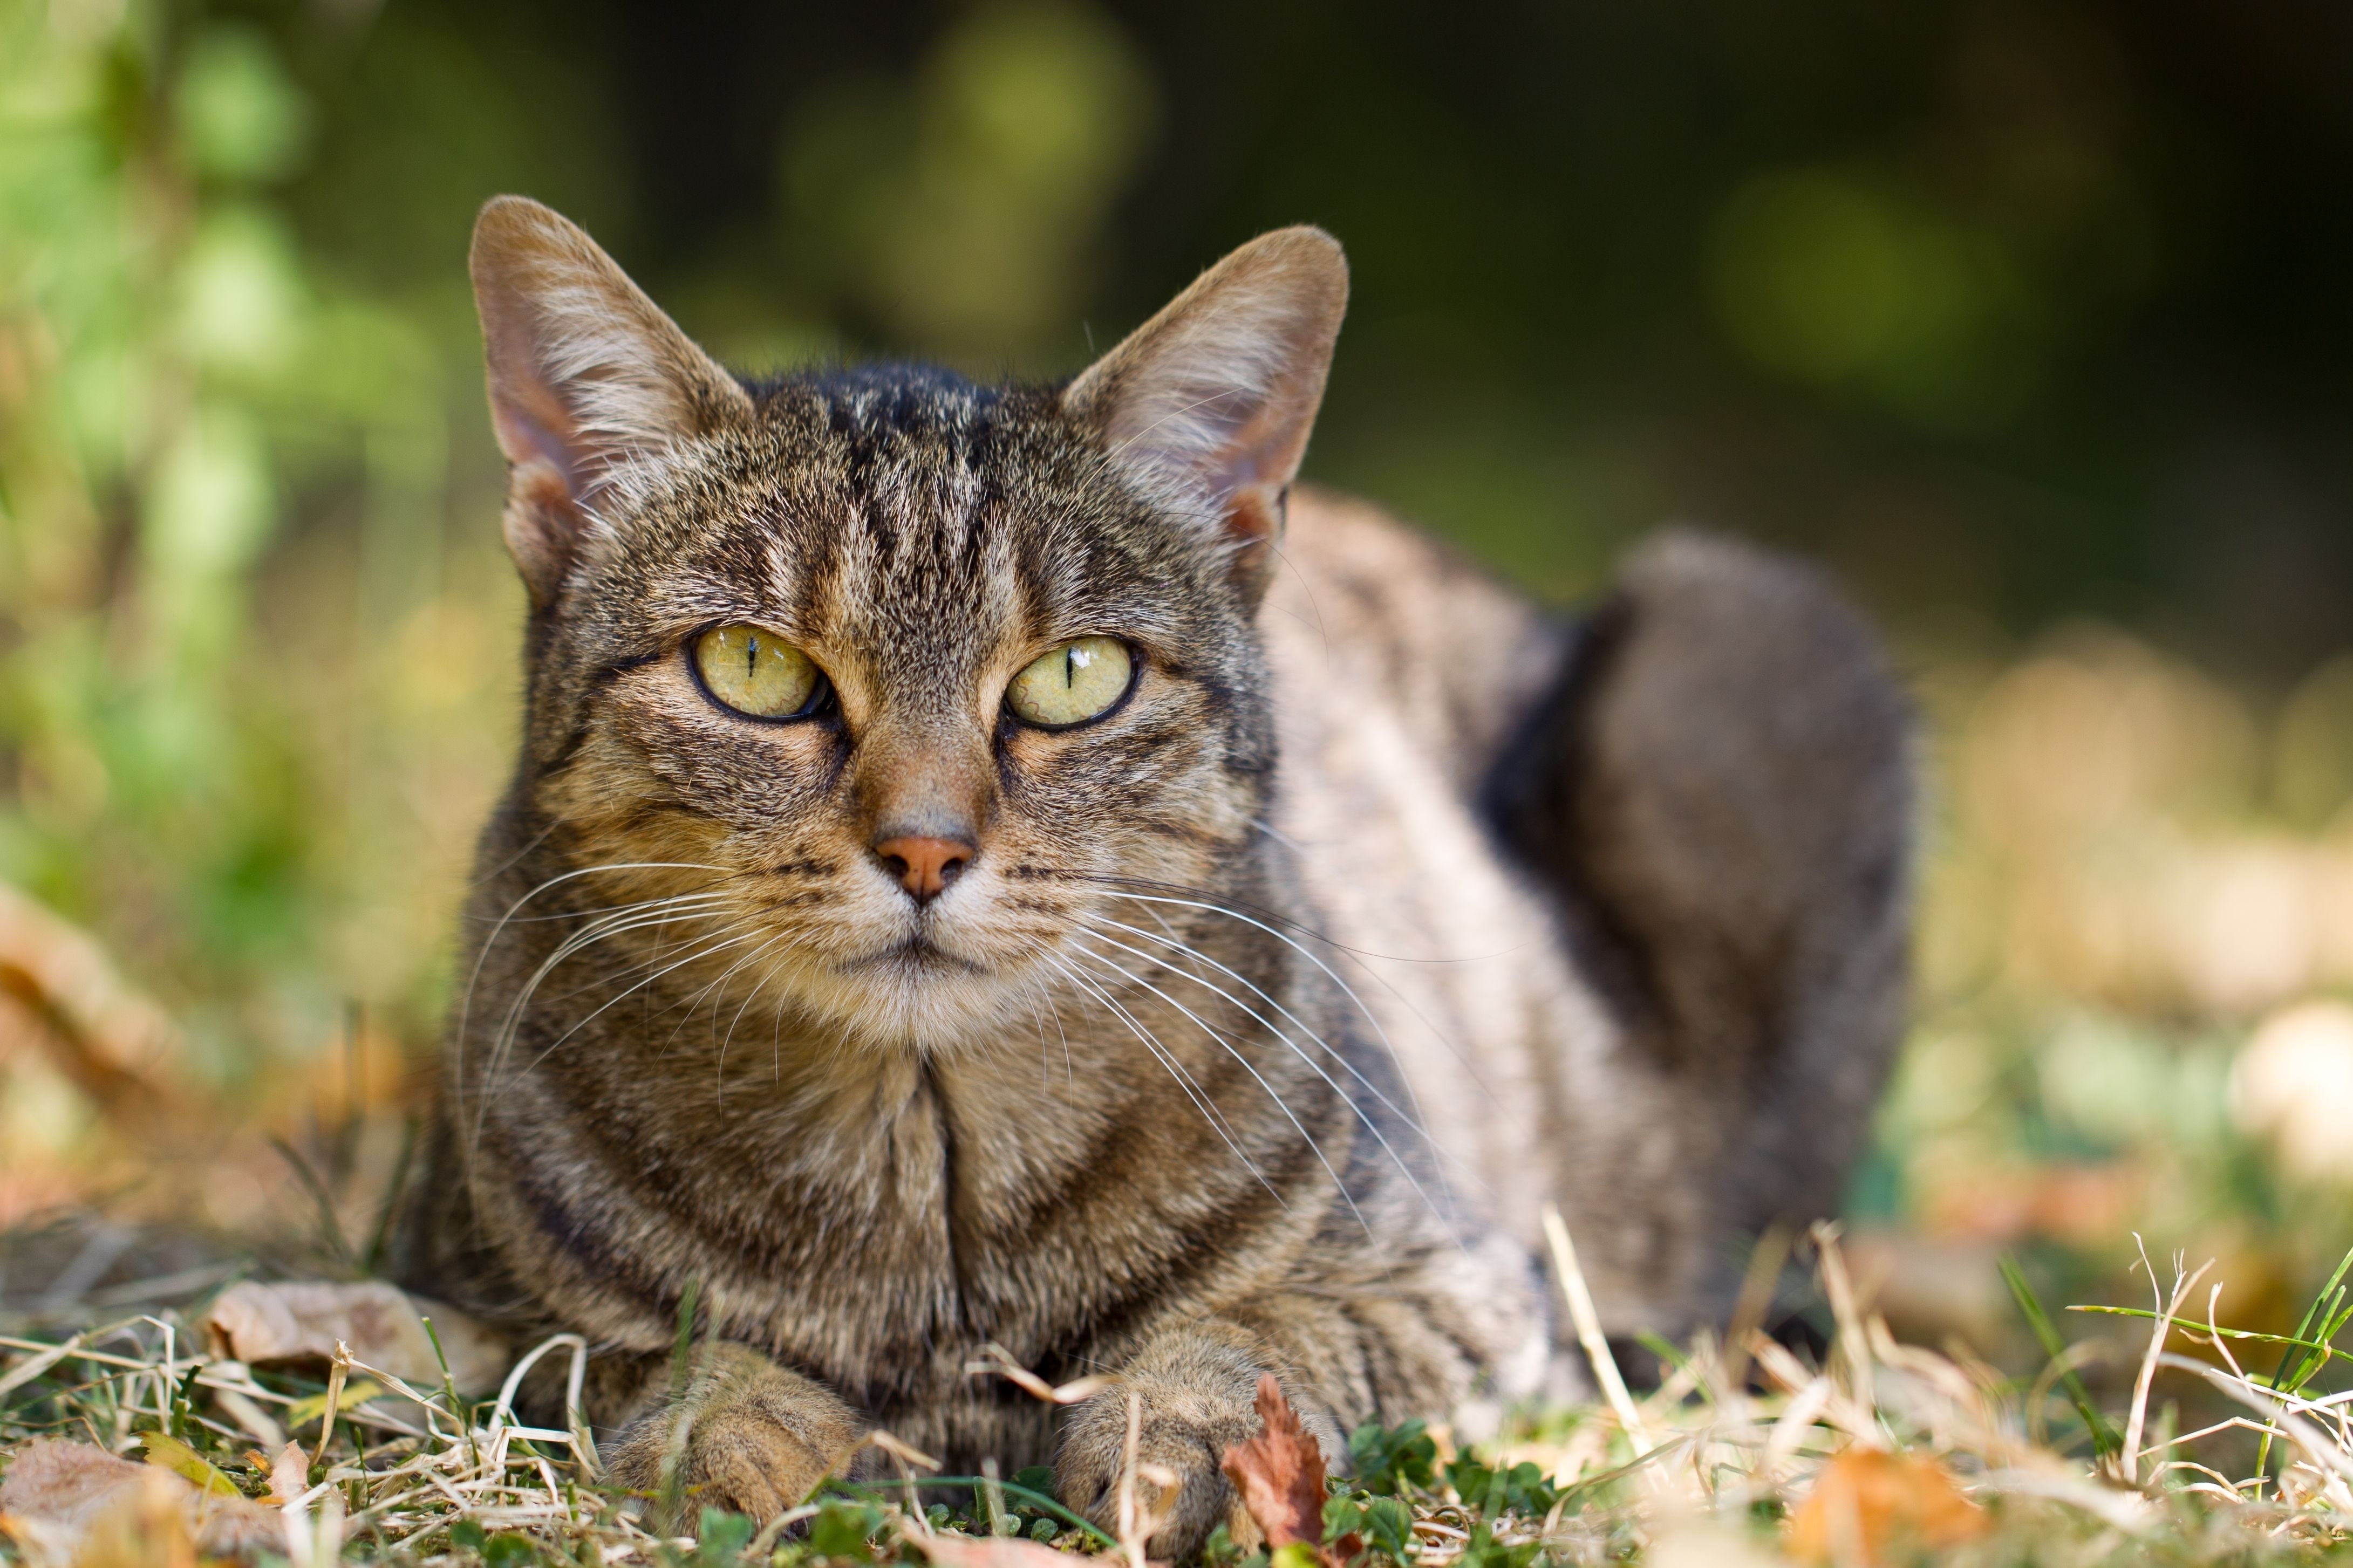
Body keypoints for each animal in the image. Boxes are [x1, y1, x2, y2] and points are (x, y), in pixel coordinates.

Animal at [400, 200, 1911, 1560]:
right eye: (754, 668)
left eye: (1075, 676)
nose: (925, 847)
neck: (928, 1199)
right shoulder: (454, 1292)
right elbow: (631, 1347)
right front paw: (732, 1425)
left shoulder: (1462, 1291)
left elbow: (1253, 1334)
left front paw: (1172, 1431)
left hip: (1747, 637)